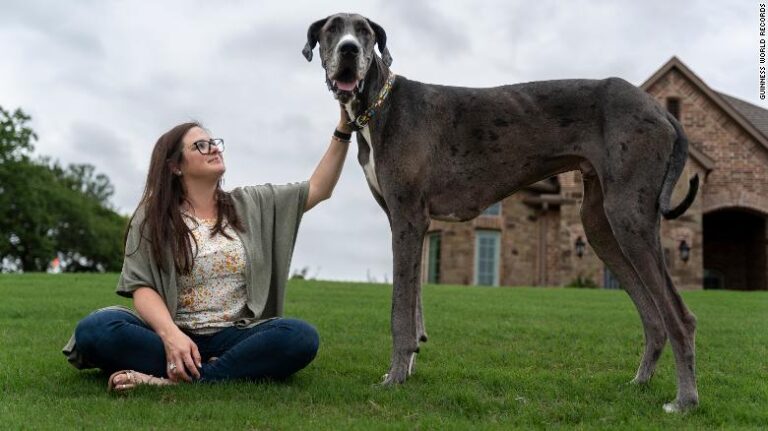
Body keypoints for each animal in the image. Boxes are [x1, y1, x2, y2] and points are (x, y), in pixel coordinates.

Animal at [304, 12, 700, 412]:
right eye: (332, 30)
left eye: (365, 32)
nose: (349, 50)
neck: (379, 105)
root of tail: (661, 110)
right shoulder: (410, 224)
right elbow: (414, 305)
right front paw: (407, 369)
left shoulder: (408, 218)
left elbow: (400, 310)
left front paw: (395, 378)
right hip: (600, 225)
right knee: (653, 316)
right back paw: (640, 382)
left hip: (628, 217)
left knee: (680, 316)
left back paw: (684, 400)